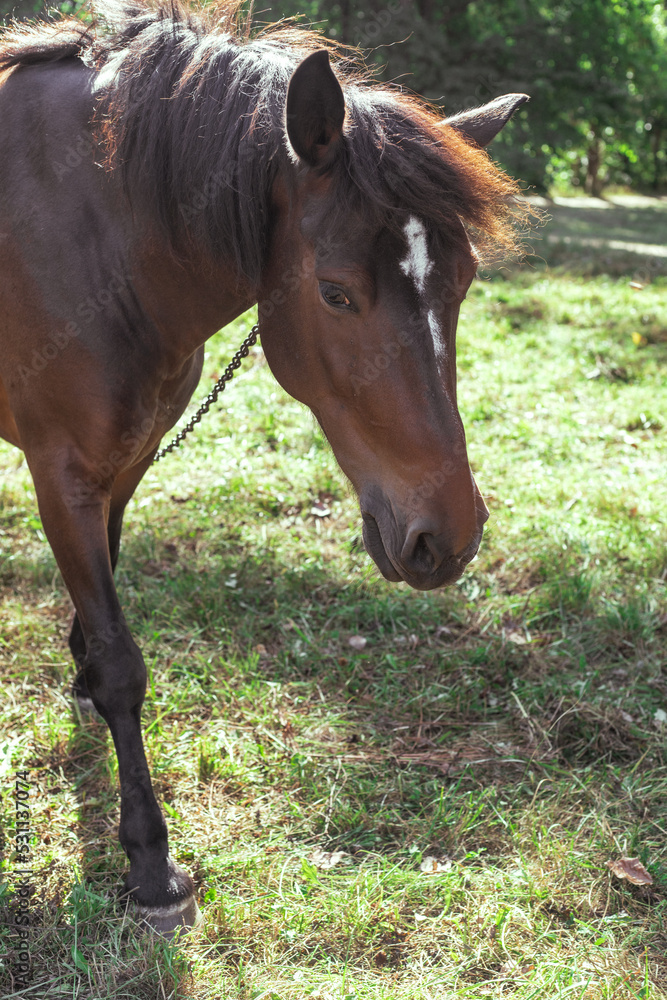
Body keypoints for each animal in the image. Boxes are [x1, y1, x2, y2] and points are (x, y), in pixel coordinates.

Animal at [0, 0, 528, 936]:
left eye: (464, 282)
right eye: (335, 292)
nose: (448, 536)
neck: (92, 232)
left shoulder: (123, 464)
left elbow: (103, 615)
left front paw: (79, 680)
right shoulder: (59, 471)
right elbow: (125, 665)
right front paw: (150, 865)